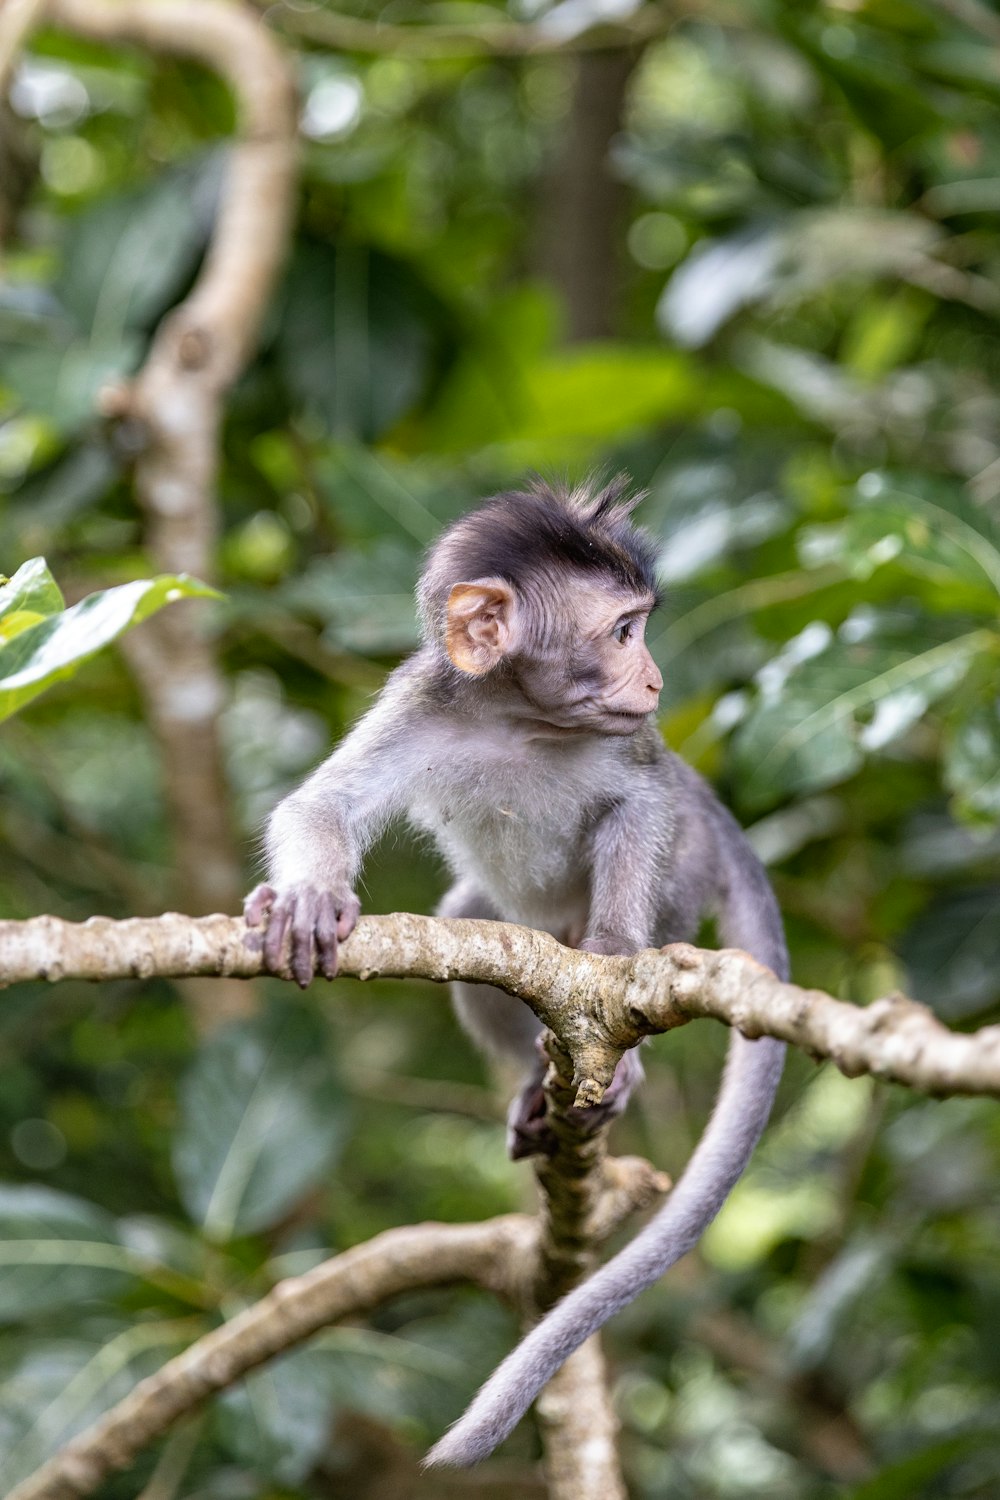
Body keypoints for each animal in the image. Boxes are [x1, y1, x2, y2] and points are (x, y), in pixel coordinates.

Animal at [244, 477, 791, 1464]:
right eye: (623, 631)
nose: (656, 680)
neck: (524, 720)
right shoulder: (422, 702)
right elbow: (322, 805)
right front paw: (309, 897)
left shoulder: (633, 749)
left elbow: (637, 806)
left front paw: (612, 950)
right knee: (472, 917)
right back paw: (532, 1095)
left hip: (688, 866)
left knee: (664, 841)